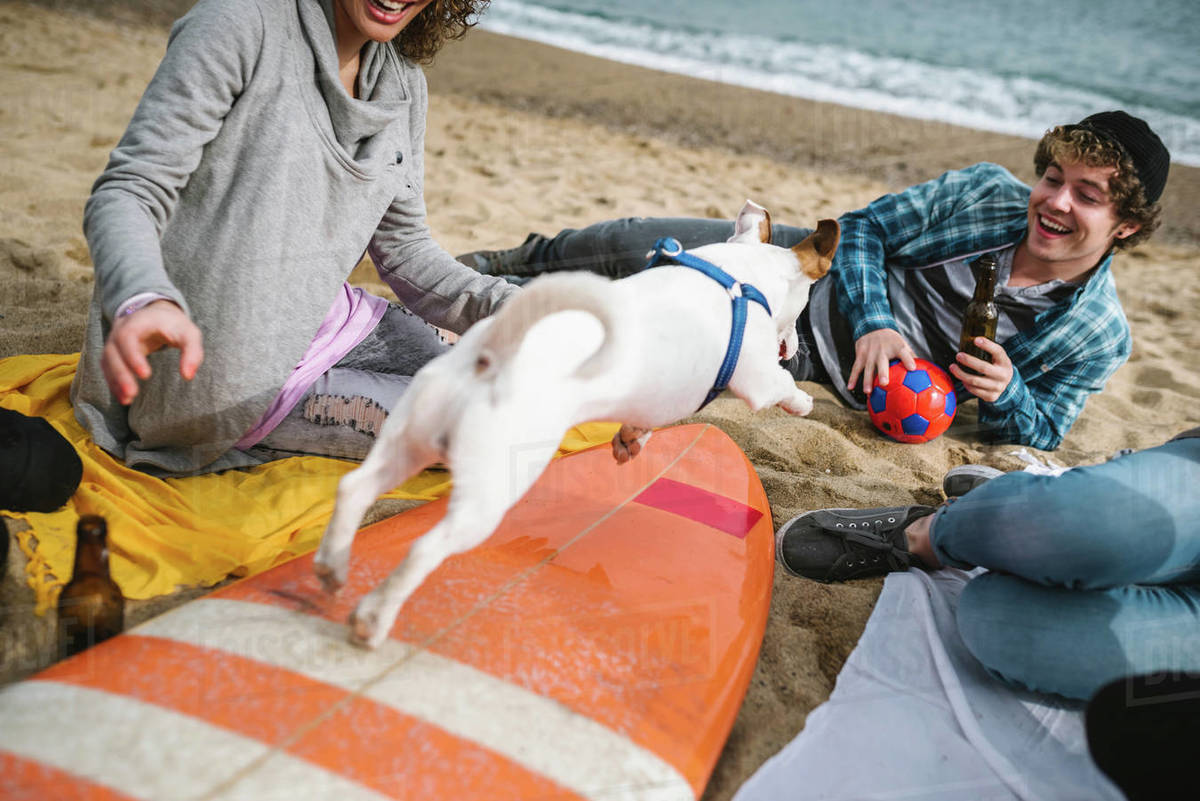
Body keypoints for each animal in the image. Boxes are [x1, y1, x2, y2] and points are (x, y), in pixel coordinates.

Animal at [314, 203, 840, 647]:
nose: (795, 347)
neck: (738, 277)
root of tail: (495, 357)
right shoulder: (756, 380)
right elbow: (777, 387)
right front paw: (801, 402)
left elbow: (640, 421)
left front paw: (630, 440)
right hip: (488, 492)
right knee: (425, 548)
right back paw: (374, 617)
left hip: (406, 439)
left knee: (354, 489)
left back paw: (332, 569)